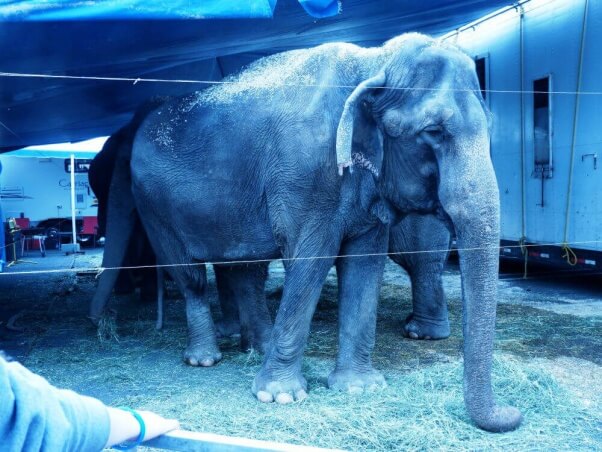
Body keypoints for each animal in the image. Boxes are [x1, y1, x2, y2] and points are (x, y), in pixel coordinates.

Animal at [95, 32, 520, 430]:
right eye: (433, 131)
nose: (513, 412)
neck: (373, 63)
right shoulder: (304, 175)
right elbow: (310, 261)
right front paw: (279, 397)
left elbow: (365, 266)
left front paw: (359, 388)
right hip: (154, 206)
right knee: (191, 277)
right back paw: (205, 359)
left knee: (243, 269)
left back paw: (258, 347)